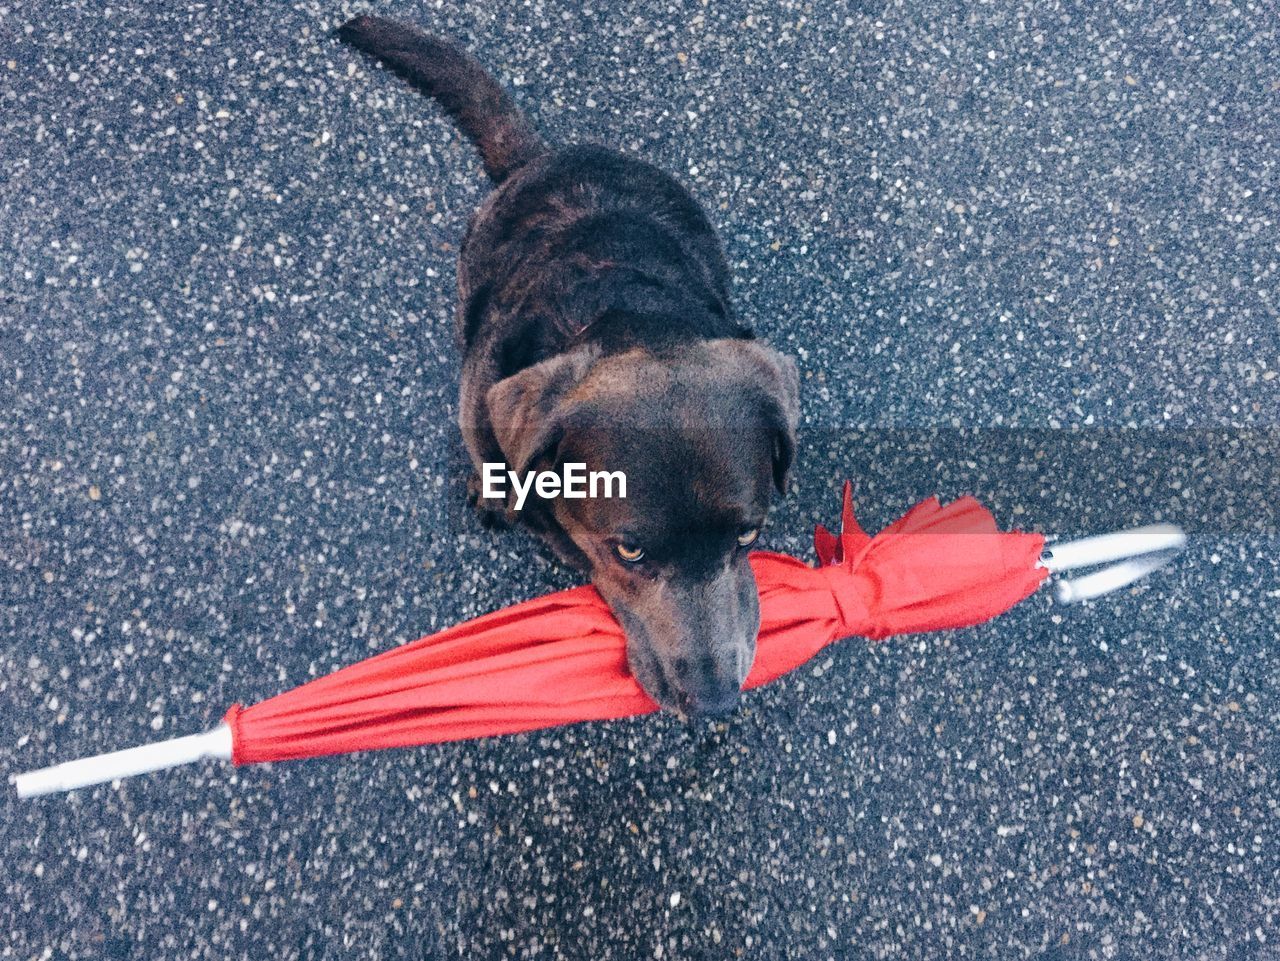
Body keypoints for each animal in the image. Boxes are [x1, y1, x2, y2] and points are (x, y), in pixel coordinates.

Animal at [340, 15, 798, 716]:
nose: (714, 702)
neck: (625, 308)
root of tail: (540, 157)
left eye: (748, 535)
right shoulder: (482, 397)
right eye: (629, 550)